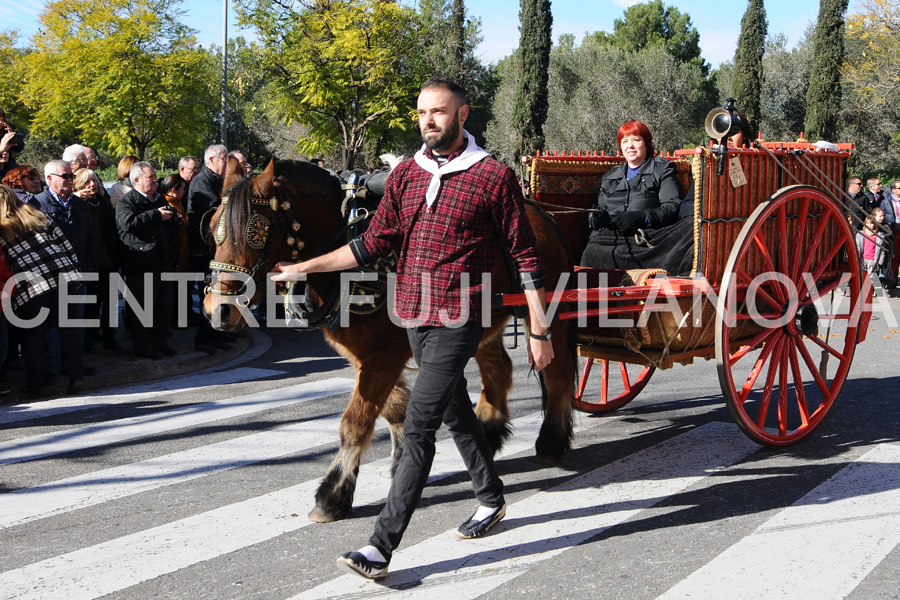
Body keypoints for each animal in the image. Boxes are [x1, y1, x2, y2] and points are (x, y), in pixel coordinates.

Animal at [205, 157, 576, 524]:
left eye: (255, 230)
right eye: (211, 228)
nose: (216, 310)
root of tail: (537, 213)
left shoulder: (385, 355)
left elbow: (355, 422)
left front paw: (332, 494)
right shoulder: (365, 354)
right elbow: (394, 408)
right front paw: (399, 465)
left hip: (548, 314)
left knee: (557, 370)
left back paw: (550, 440)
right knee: (499, 368)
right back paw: (489, 433)